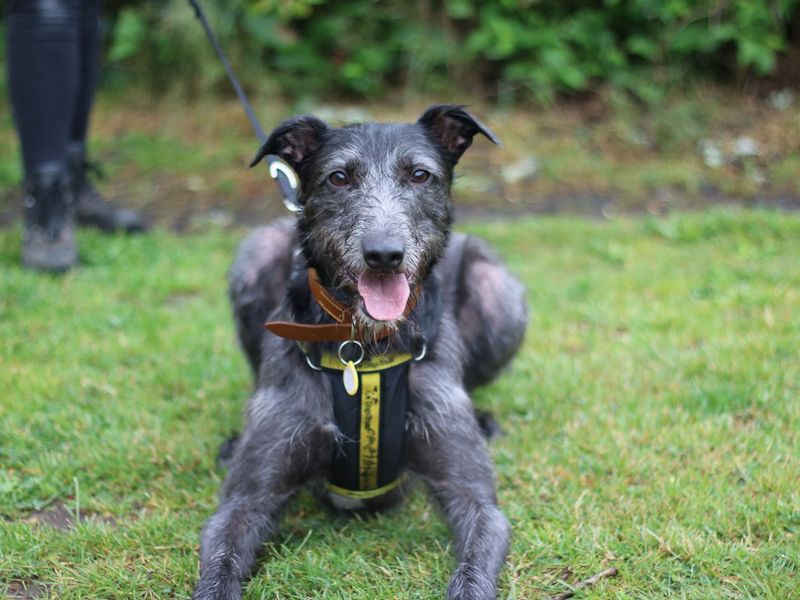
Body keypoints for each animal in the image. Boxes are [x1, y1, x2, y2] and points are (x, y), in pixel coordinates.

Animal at [193, 105, 528, 596]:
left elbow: (475, 562)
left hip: (499, 293)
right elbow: (221, 560)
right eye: (337, 178)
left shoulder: (476, 499)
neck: (366, 346)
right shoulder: (245, 500)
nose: (384, 254)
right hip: (255, 254)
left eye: (420, 175)